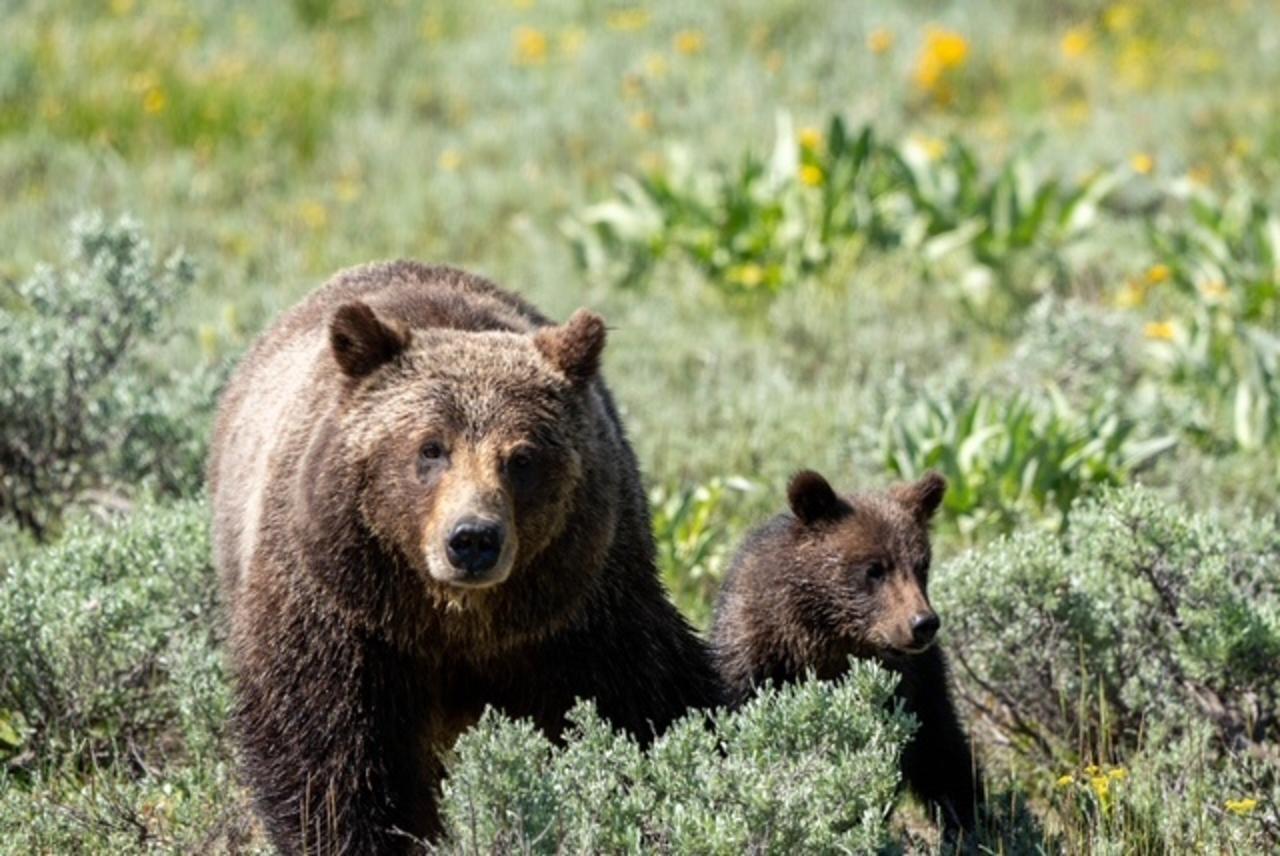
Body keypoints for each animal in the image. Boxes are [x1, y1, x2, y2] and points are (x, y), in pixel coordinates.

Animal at [215, 262, 727, 854]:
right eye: (430, 448)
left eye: (523, 457)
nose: (473, 539)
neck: (459, 620)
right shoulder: (342, 611)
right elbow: (326, 751)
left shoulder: (585, 609)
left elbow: (648, 703)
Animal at [711, 468, 977, 834]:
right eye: (874, 568)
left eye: (922, 565)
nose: (923, 623)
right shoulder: (754, 655)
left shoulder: (897, 684)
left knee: (945, 750)